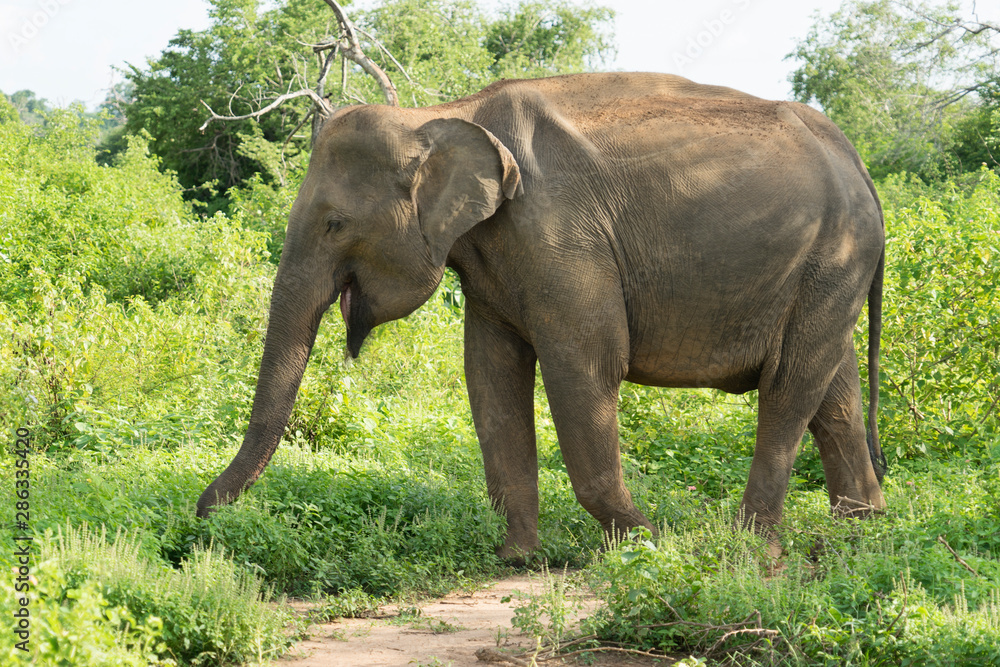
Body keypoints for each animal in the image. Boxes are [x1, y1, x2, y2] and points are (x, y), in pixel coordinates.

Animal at [199, 73, 888, 560]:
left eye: (335, 224)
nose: (202, 517)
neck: (443, 115)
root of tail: (859, 161)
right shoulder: (493, 259)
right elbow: (490, 376)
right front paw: (517, 559)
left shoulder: (560, 235)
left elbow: (586, 364)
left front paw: (646, 543)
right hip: (828, 270)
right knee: (833, 388)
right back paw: (863, 533)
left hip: (835, 254)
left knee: (790, 386)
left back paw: (750, 548)